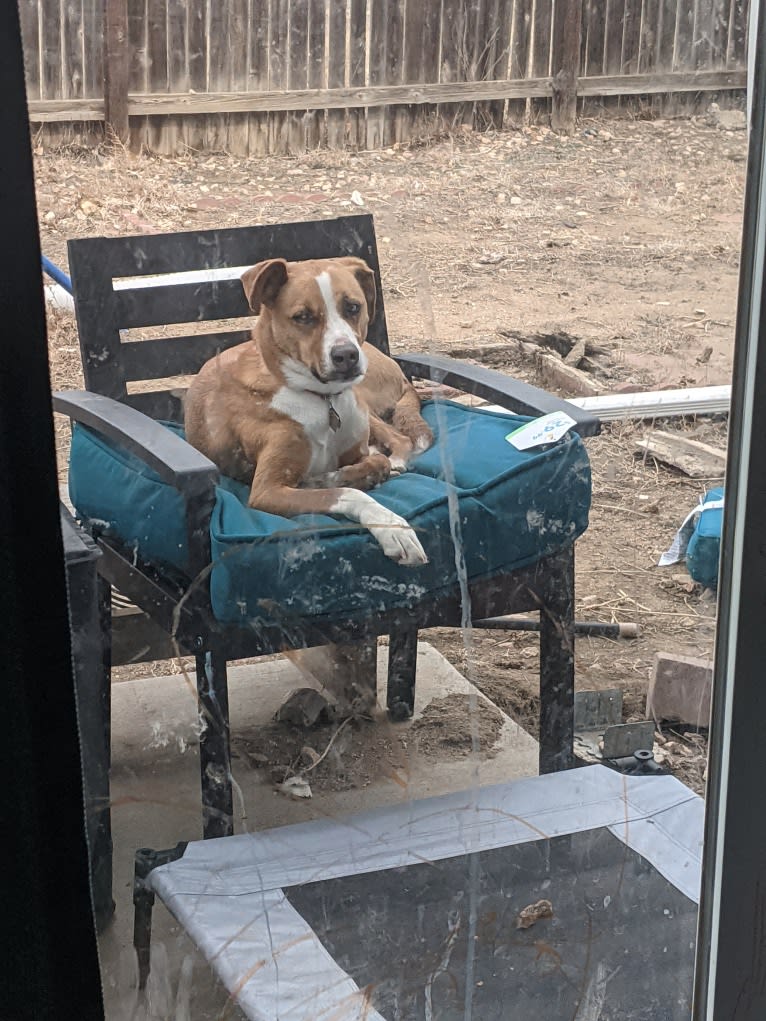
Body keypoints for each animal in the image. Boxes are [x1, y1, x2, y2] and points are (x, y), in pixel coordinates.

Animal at [185, 257, 435, 567]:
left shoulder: (357, 449)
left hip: (364, 404)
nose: (346, 355)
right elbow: (349, 493)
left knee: (399, 439)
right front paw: (392, 528)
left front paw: (337, 476)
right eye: (302, 317)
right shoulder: (266, 491)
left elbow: (375, 463)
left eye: (353, 307)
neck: (321, 399)